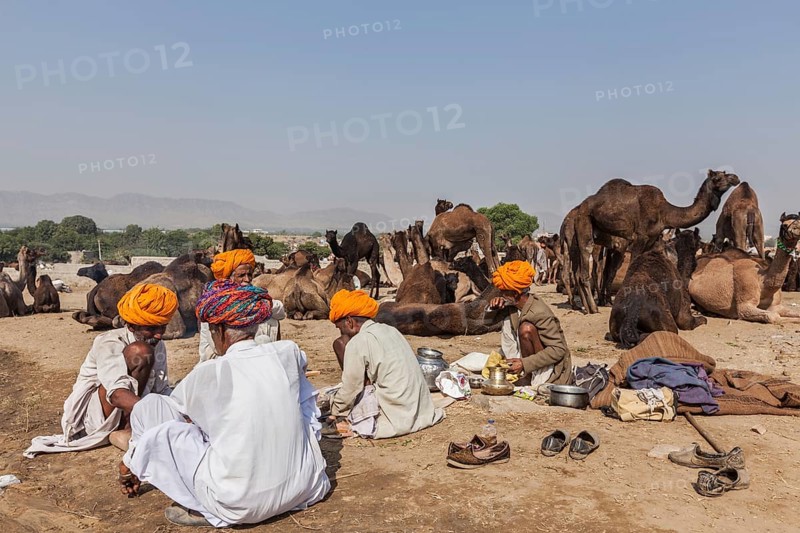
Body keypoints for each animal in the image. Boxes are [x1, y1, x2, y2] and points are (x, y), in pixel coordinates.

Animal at [568, 170, 740, 314]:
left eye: (725, 172)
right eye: (717, 177)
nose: (735, 178)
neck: (664, 213)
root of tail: (580, 208)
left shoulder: (650, 241)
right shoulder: (640, 238)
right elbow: (631, 267)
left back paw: (587, 307)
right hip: (584, 222)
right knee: (585, 263)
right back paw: (594, 308)